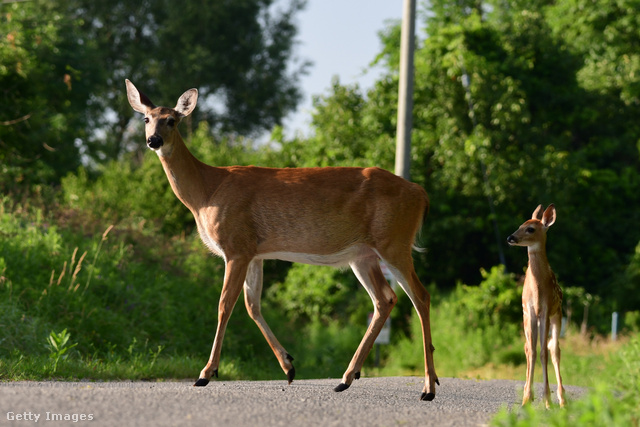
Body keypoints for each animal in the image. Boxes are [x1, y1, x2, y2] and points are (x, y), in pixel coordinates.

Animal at [124, 79, 440, 402]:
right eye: (146, 119)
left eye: (172, 120)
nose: (153, 141)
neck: (206, 193)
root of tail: (421, 193)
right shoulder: (255, 252)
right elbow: (252, 305)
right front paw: (288, 366)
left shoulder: (236, 246)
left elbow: (225, 305)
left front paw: (206, 373)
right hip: (363, 255)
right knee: (384, 299)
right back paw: (347, 378)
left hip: (394, 242)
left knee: (420, 296)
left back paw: (428, 387)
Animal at [508, 206, 568, 410]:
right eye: (520, 225)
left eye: (531, 229)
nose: (510, 237)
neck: (537, 289)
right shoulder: (529, 312)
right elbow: (532, 351)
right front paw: (527, 397)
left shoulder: (545, 311)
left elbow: (543, 352)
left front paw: (547, 399)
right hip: (527, 319)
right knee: (528, 348)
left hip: (557, 315)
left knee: (554, 349)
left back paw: (562, 400)